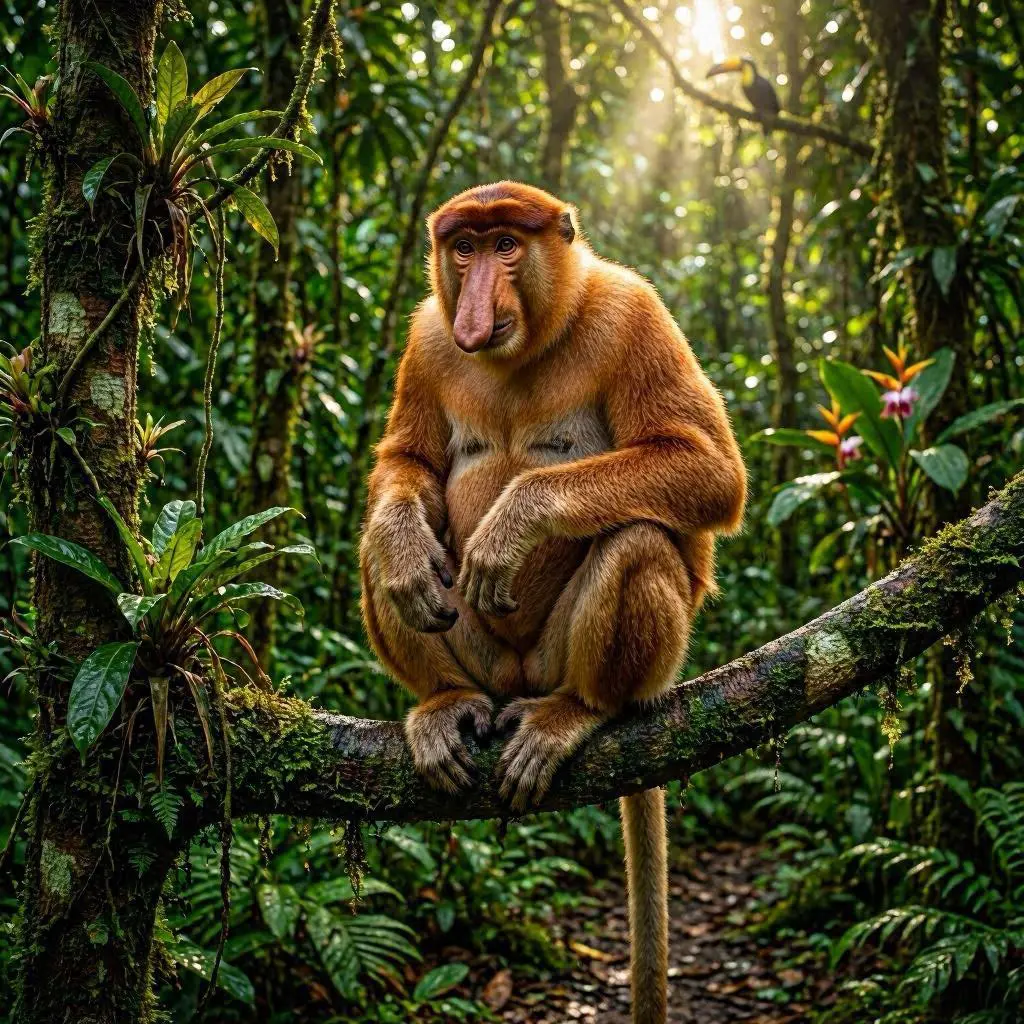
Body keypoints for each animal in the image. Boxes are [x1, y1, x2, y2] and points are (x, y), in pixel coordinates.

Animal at [359, 181, 745, 1024]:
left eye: (508, 245)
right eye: (463, 248)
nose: (475, 307)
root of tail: (516, 682)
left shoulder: (633, 315)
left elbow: (709, 470)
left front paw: (514, 522)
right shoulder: (428, 337)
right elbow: (409, 462)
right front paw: (406, 545)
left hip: (565, 660)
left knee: (638, 539)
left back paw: (579, 710)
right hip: (485, 660)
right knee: (380, 557)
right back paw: (446, 700)